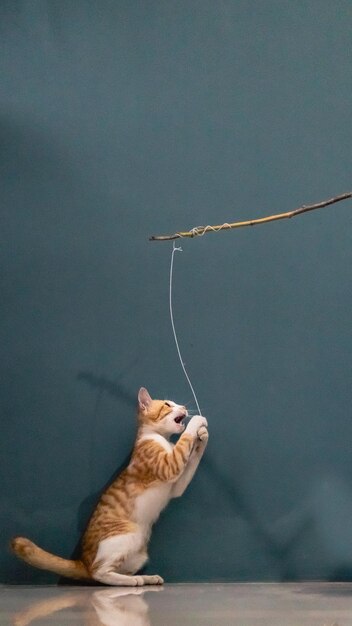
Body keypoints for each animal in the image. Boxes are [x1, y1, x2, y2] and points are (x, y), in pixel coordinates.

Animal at [11, 386, 209, 584]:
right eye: (168, 405)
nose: (183, 407)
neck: (159, 437)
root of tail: (83, 562)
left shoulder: (176, 486)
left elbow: (191, 460)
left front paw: (203, 437)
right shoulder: (169, 466)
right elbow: (184, 441)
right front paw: (197, 422)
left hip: (139, 554)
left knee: (116, 570)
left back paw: (146, 578)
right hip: (127, 534)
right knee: (99, 573)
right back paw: (133, 581)